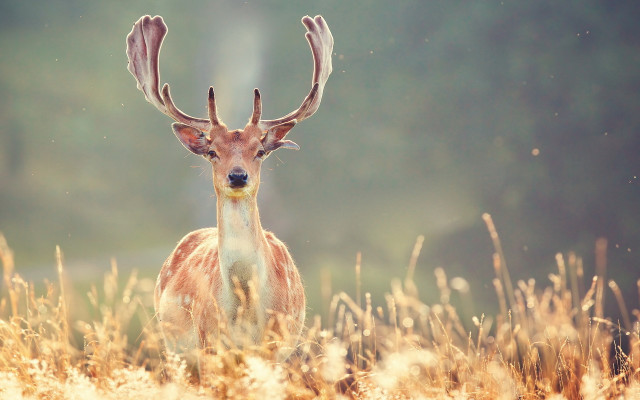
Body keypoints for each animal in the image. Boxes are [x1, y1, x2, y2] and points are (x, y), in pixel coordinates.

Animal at [126, 14, 333, 359]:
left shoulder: (277, 346)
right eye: (212, 151)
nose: (237, 176)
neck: (246, 305)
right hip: (174, 347)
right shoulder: (209, 342)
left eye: (259, 151)